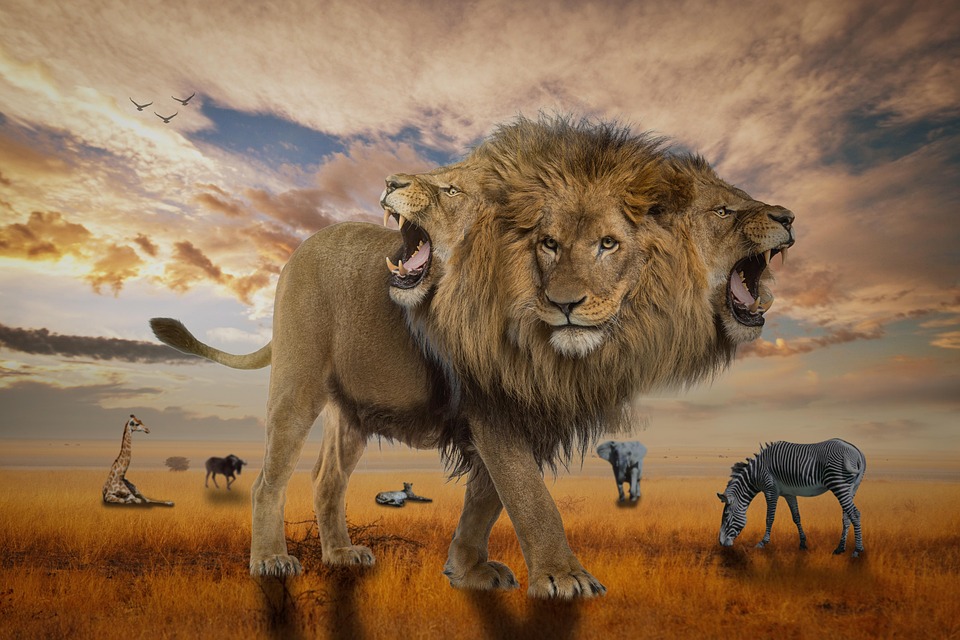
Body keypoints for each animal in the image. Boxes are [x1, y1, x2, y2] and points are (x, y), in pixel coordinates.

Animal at [151, 115, 795, 599]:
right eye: (723, 211)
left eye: (609, 245)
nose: (787, 216)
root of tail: (302, 246)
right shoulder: (495, 408)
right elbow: (530, 497)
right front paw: (564, 578)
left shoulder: (521, 411)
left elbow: (487, 500)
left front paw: (467, 571)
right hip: (297, 385)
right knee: (268, 479)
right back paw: (270, 562)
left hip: (353, 412)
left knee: (326, 479)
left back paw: (340, 553)